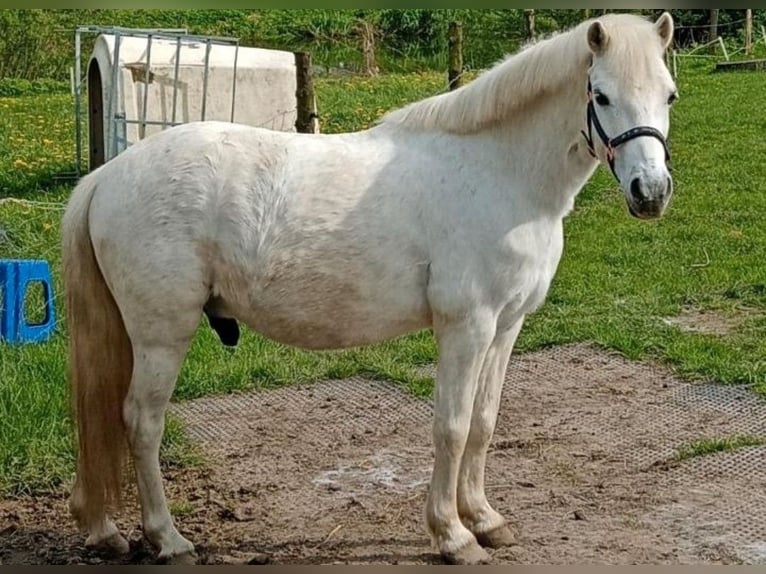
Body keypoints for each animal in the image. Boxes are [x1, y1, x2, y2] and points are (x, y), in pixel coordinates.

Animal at [61, 12, 678, 565]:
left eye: (669, 96)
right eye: (601, 96)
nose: (651, 192)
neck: (498, 172)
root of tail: (107, 176)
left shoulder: (506, 325)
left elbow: (483, 423)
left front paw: (484, 520)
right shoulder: (467, 326)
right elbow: (451, 427)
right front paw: (452, 535)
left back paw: (106, 530)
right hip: (162, 335)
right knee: (143, 422)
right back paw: (168, 539)